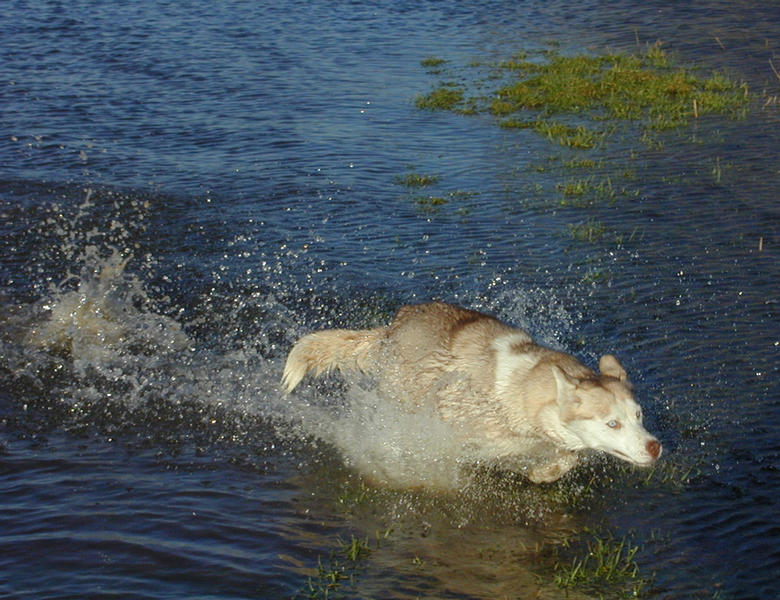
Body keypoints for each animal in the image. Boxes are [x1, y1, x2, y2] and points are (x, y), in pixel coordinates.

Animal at [280, 300, 660, 482]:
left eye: (638, 415)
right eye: (612, 424)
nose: (654, 447)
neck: (522, 389)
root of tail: (392, 326)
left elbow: (569, 456)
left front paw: (545, 472)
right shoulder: (460, 432)